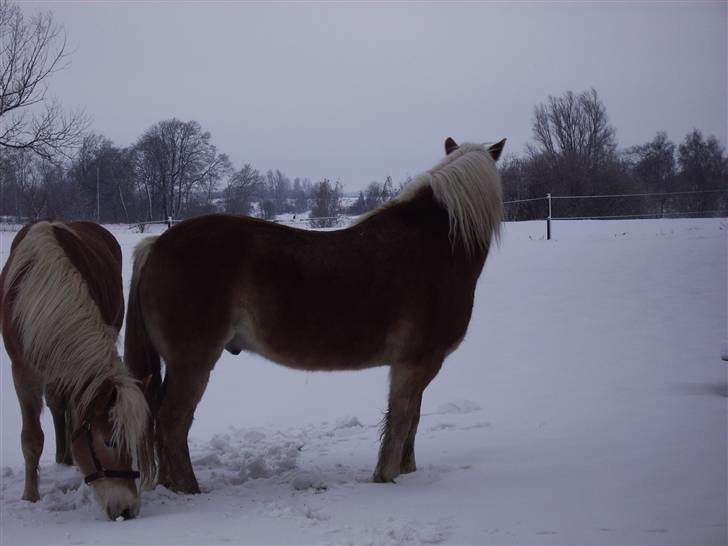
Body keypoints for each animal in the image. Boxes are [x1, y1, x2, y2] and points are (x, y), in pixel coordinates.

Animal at [125, 138, 504, 490]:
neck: (434, 247)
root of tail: (157, 244)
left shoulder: (417, 363)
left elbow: (413, 419)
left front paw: (407, 471)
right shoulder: (417, 362)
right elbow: (401, 419)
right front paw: (386, 476)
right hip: (192, 364)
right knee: (172, 423)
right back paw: (190, 490)